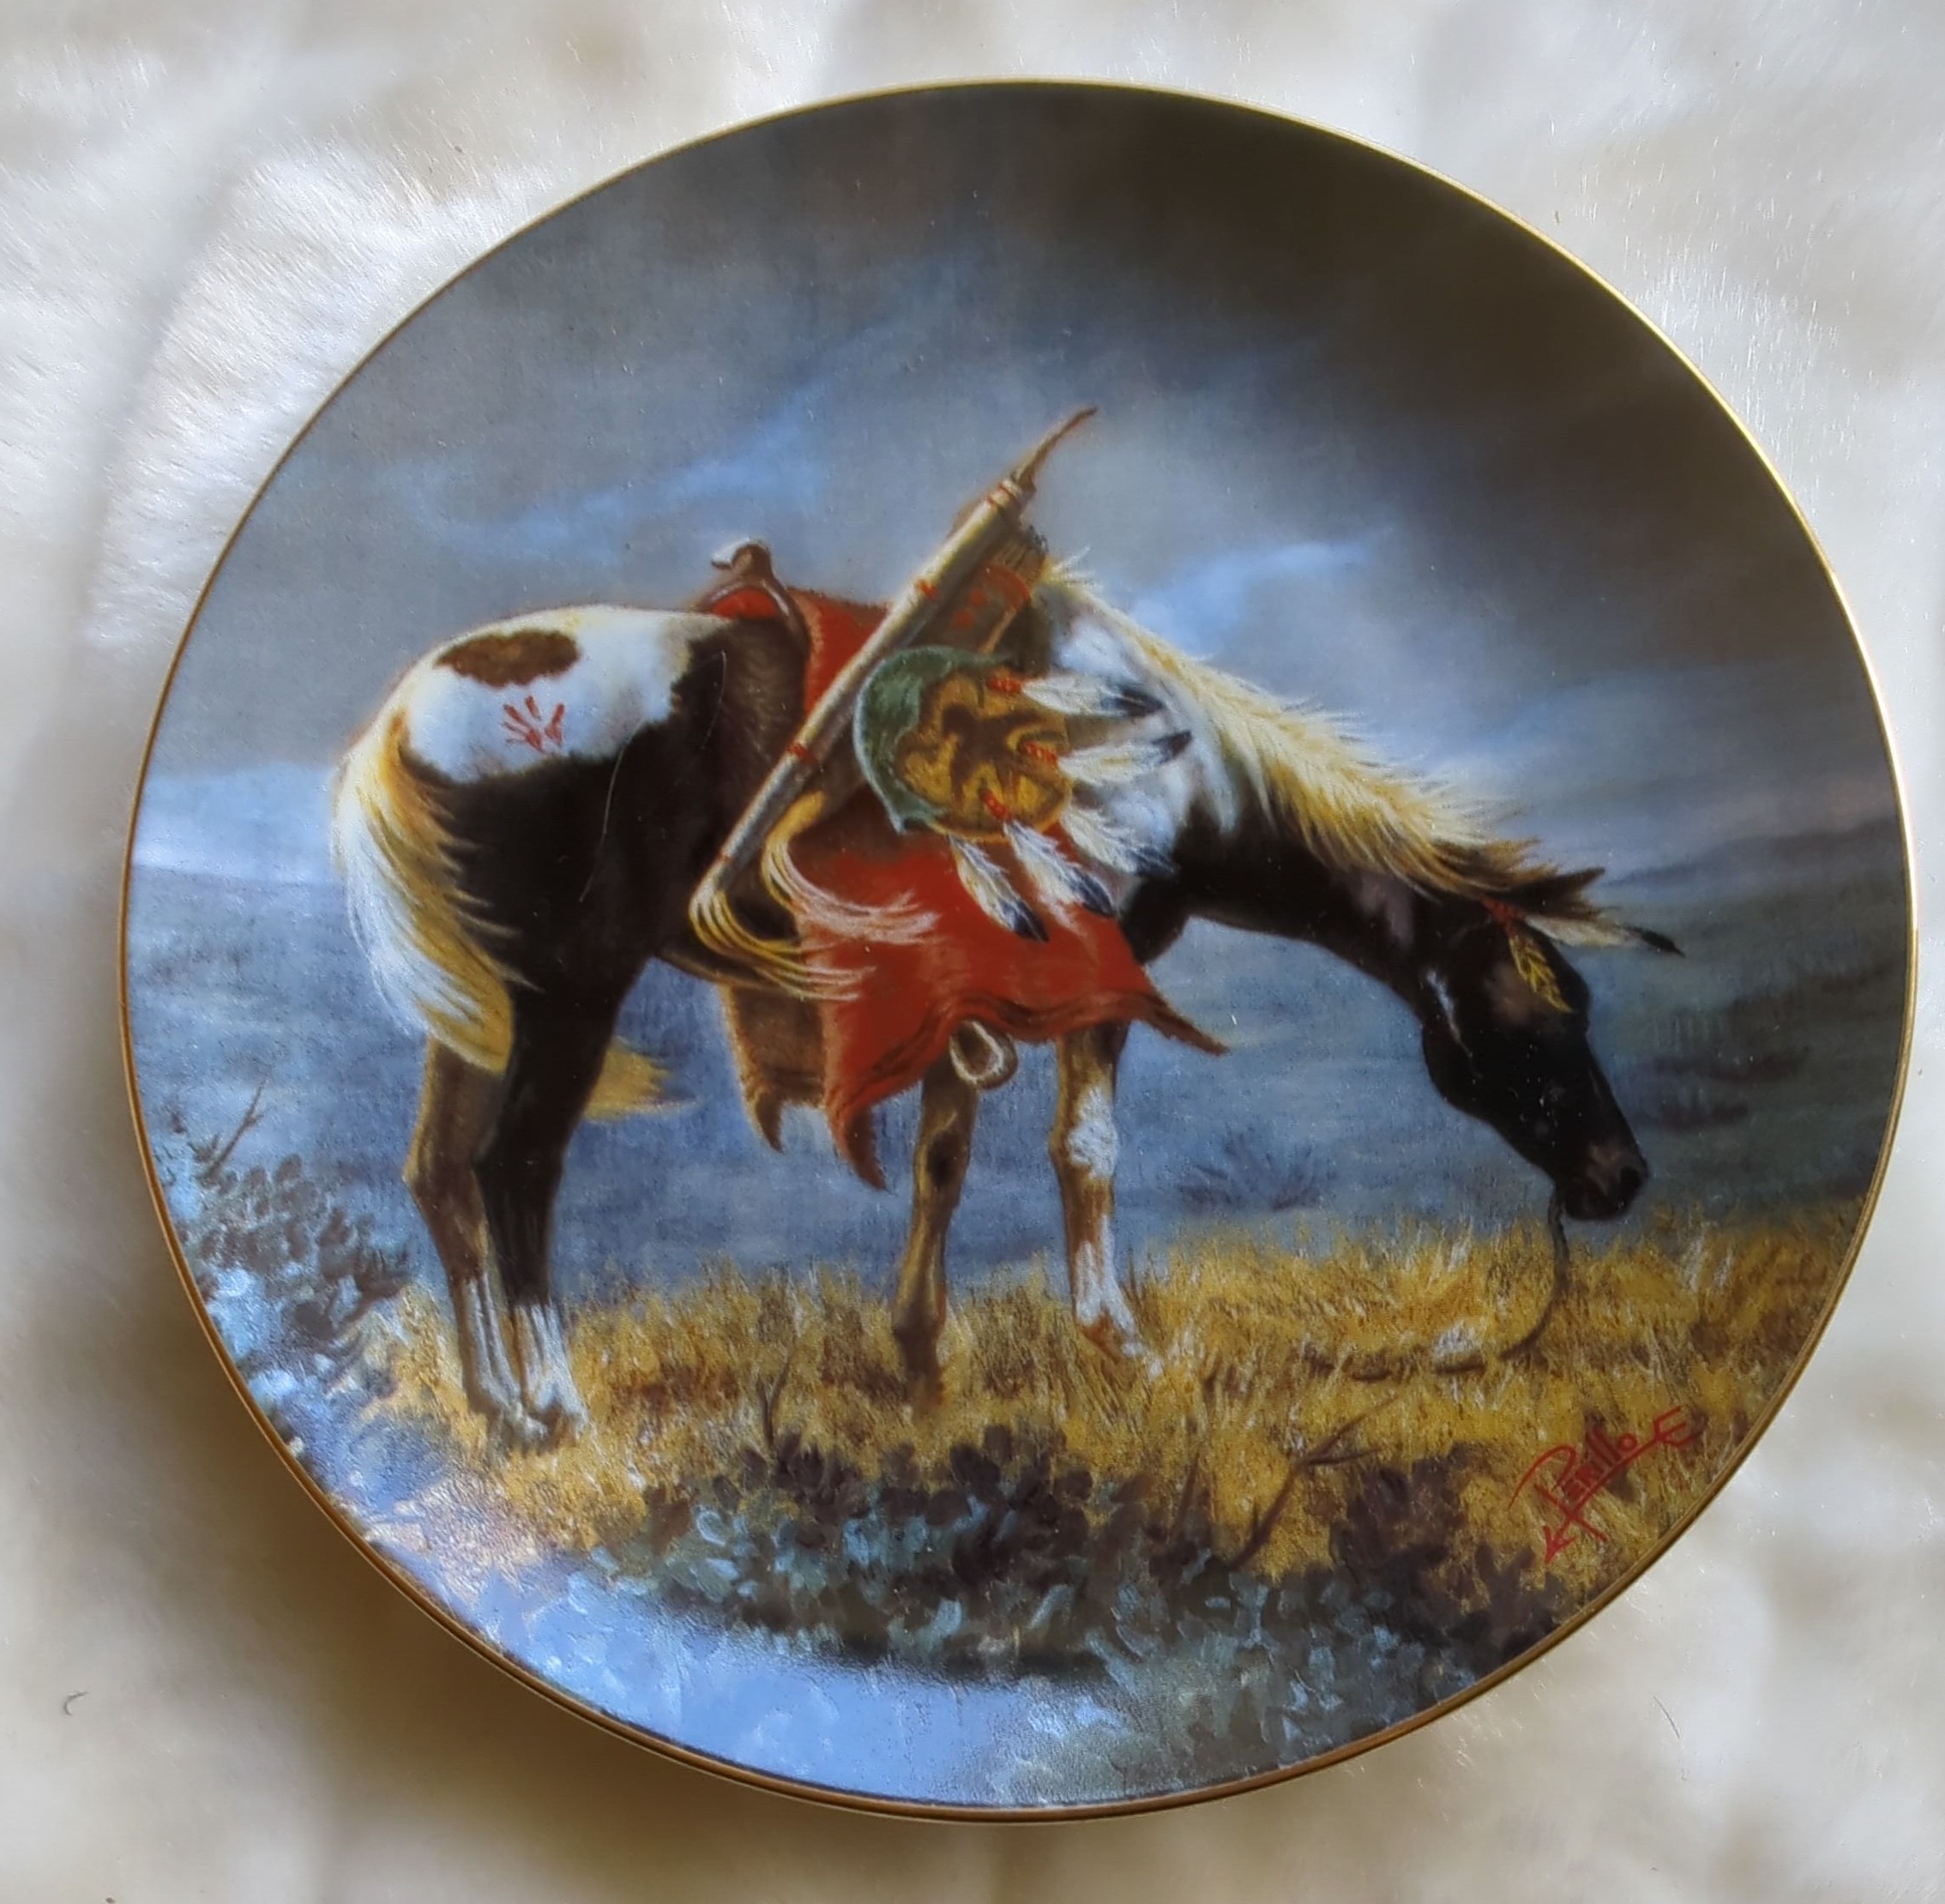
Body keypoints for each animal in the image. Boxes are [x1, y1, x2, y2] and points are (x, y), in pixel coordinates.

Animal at [332, 557, 1674, 1451]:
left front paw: (923, 1361)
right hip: (569, 996)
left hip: (483, 1013)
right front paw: (1122, 1346)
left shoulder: (958, 997)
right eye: (1532, 1020)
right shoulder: (1098, 974)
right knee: (514, 1170)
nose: (1620, 1179)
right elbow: (1084, 1151)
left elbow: (944, 1160)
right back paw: (558, 1406)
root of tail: (400, 720)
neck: (1165, 762)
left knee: (437, 1176)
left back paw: (497, 1408)